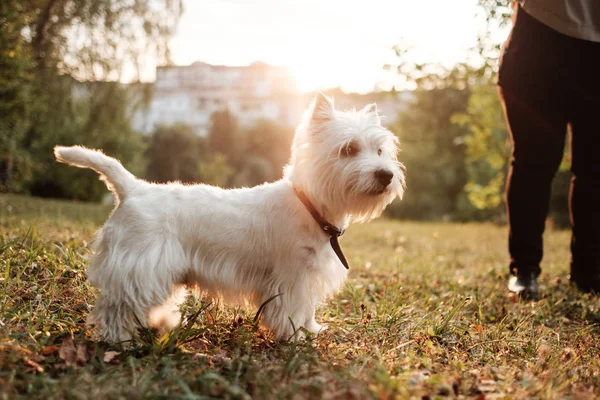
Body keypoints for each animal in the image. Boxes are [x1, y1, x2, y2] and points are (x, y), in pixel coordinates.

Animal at [54, 92, 406, 342]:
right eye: (348, 149)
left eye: (380, 150)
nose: (386, 175)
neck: (311, 207)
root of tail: (132, 188)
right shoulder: (292, 276)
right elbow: (292, 308)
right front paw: (294, 338)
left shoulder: (309, 276)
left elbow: (307, 309)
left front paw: (311, 330)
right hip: (140, 264)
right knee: (116, 305)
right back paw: (120, 341)